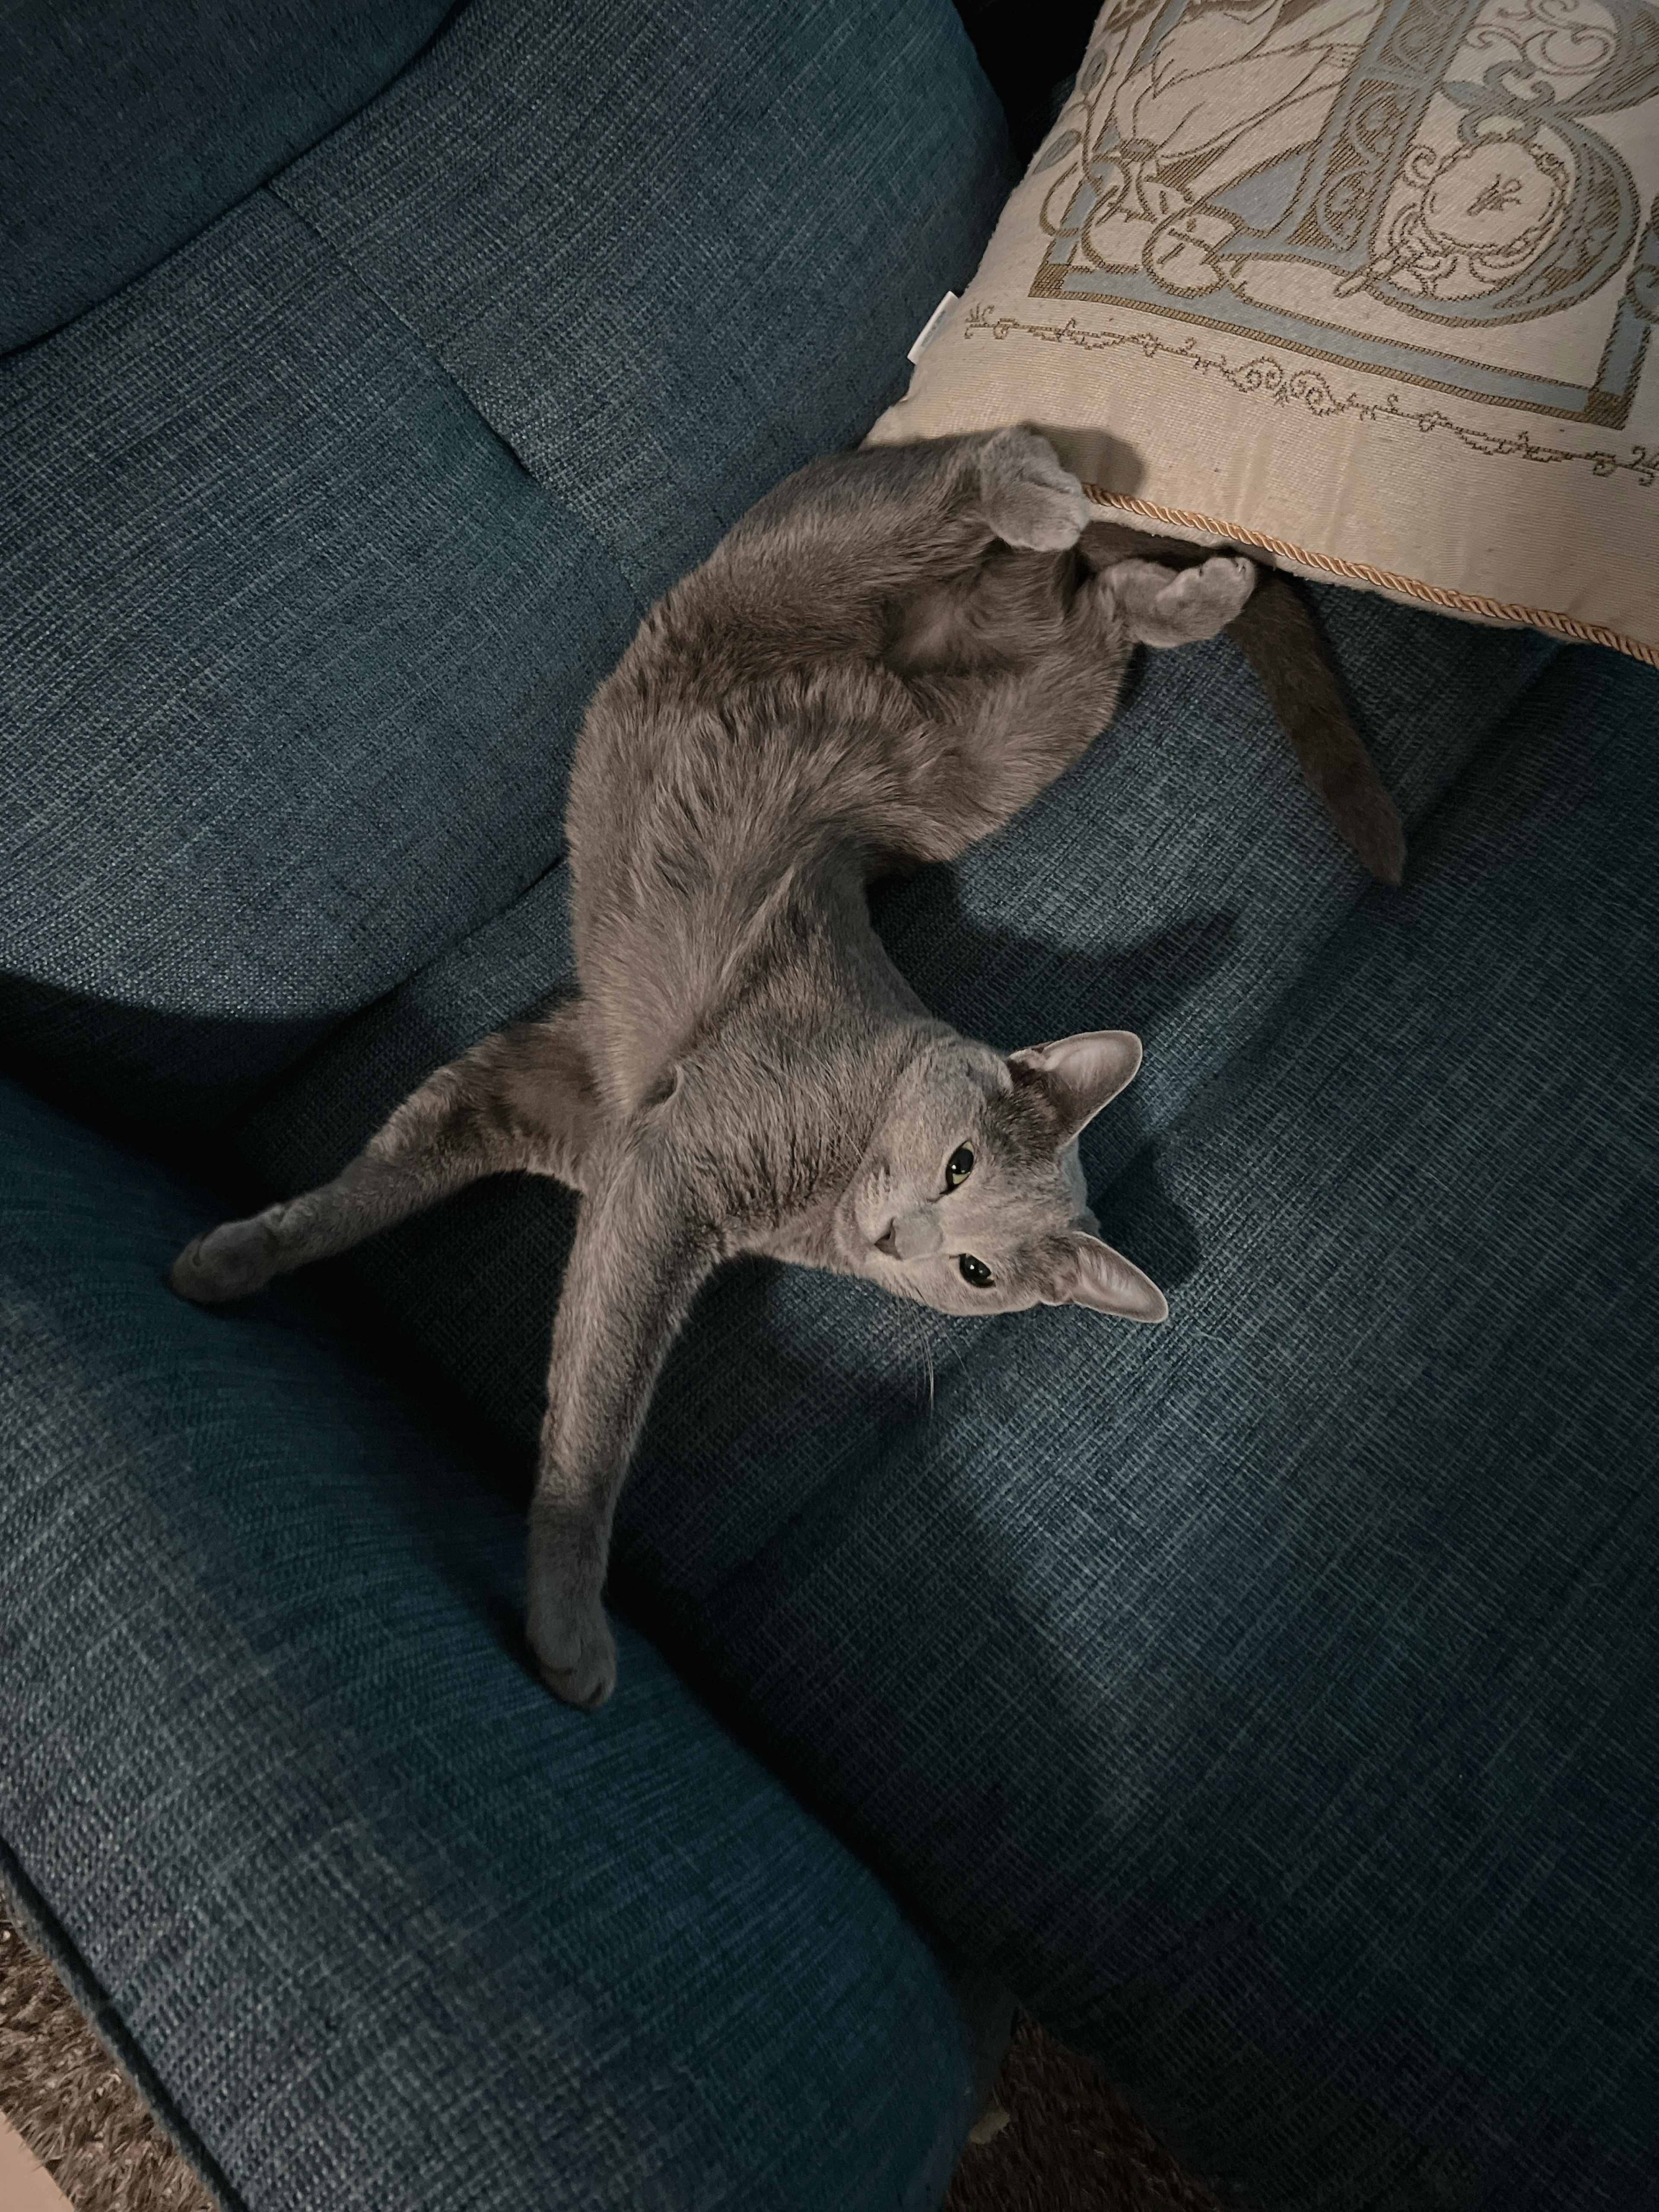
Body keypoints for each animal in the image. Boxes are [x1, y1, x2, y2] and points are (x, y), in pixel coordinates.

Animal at [169, 431, 1265, 1707]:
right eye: (956, 1165)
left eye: (979, 1274)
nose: (902, 1238)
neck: (821, 1191)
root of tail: (984, 611)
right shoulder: (663, 1172)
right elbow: (598, 1410)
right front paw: (572, 1631)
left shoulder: (562, 1105)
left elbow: (387, 1182)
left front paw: (227, 1259)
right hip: (832, 593)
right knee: (964, 486)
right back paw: (1056, 502)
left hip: (1008, 744)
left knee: (1101, 615)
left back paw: (1199, 590)